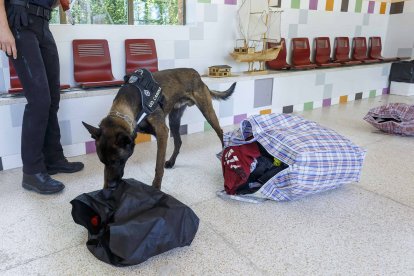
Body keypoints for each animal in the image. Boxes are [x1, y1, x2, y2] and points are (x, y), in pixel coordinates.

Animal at [83, 68, 236, 191]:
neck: (128, 102)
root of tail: (198, 75)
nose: (111, 186)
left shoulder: (162, 133)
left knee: (221, 132)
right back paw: (172, 162)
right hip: (174, 120)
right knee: (178, 141)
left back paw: (224, 154)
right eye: (103, 162)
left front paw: (156, 187)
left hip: (207, 111)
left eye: (117, 161)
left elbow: (158, 165)